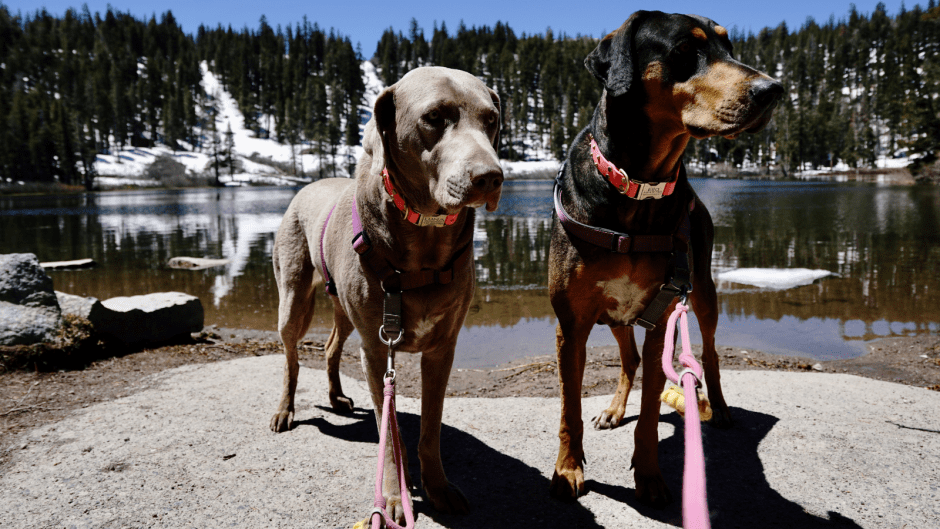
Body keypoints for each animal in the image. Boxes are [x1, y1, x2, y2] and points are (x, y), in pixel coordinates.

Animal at [548, 9, 784, 504]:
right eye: (684, 50)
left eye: (729, 47)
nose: (773, 89)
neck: (638, 186)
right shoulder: (571, 323)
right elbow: (568, 409)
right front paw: (568, 469)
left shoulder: (662, 316)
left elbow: (652, 414)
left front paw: (650, 476)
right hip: (613, 314)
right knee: (628, 360)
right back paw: (615, 409)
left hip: (703, 292)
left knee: (709, 354)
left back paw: (720, 407)